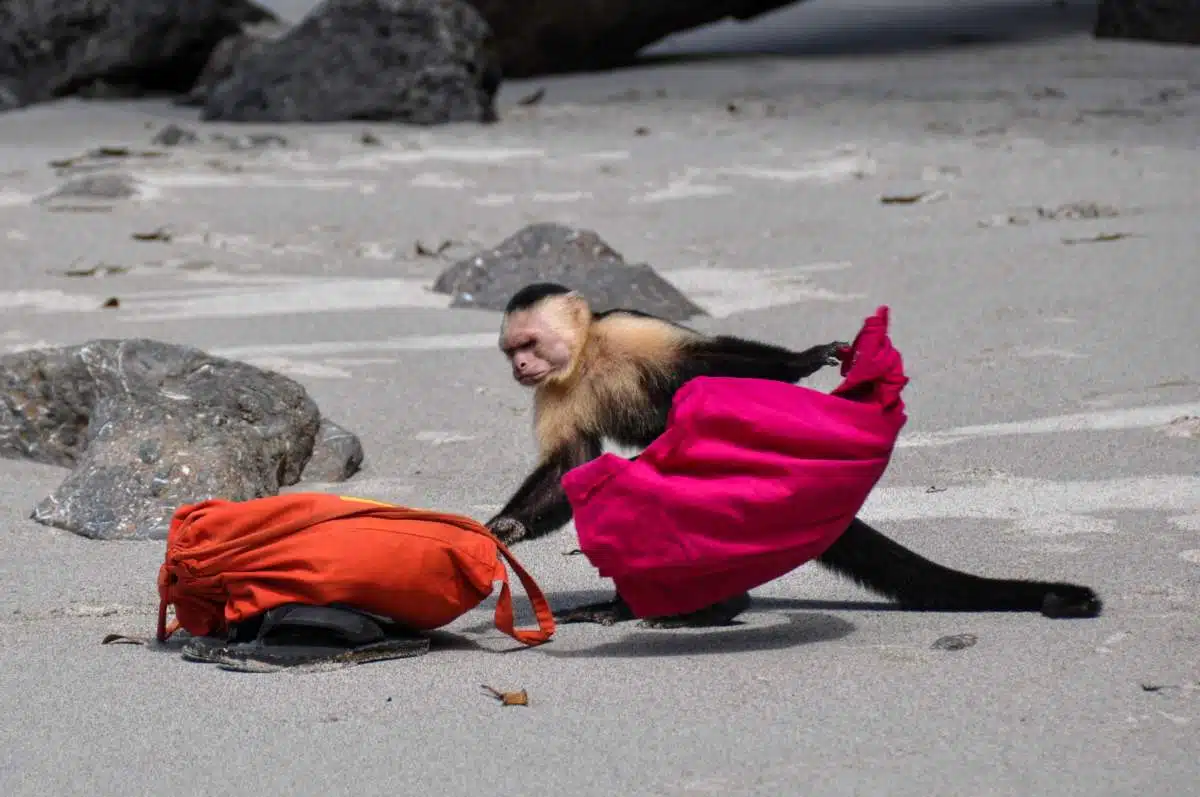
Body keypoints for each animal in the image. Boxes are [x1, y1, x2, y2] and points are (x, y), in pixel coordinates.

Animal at [482, 282, 1099, 628]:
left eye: (528, 344)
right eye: (512, 352)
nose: (519, 367)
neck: (586, 356)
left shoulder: (629, 331)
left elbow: (710, 361)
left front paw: (803, 360)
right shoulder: (552, 390)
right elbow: (569, 466)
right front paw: (505, 528)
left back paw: (703, 609)